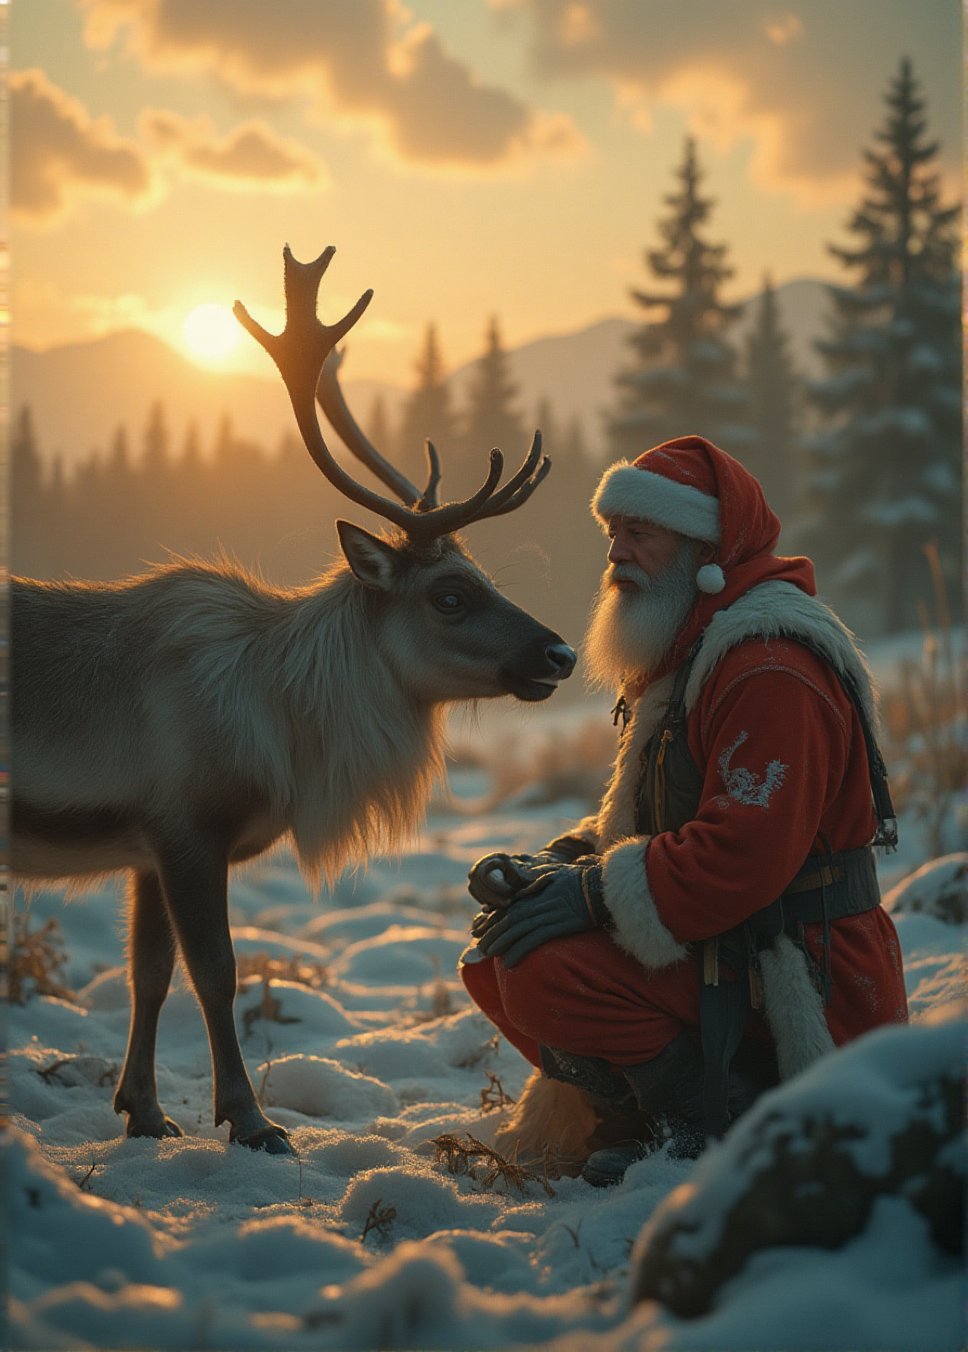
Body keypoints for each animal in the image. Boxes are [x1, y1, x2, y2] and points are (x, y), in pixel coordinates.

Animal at [11, 244, 576, 1155]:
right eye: (450, 595)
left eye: (483, 576)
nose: (558, 653)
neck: (286, 732)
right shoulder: (186, 825)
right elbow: (216, 970)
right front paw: (248, 1118)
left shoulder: (145, 845)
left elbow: (148, 973)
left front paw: (144, 1110)